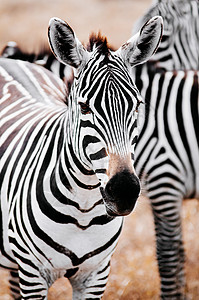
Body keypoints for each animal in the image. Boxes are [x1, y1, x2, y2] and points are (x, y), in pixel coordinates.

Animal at [0, 15, 163, 298]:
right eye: (84, 107)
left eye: (137, 105)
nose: (124, 191)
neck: (82, 210)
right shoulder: (33, 274)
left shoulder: (96, 274)